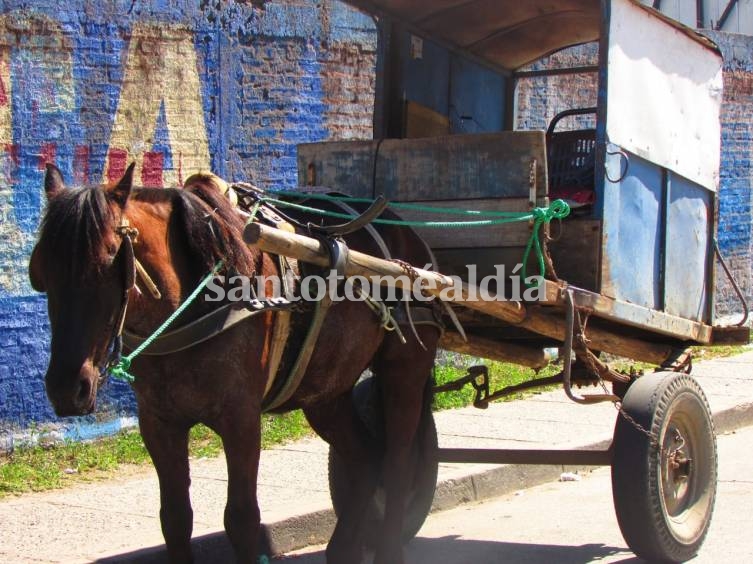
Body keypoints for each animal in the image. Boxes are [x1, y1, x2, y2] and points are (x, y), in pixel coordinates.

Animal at [29, 163, 440, 564]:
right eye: (42, 272)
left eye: (110, 261)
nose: (66, 388)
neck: (195, 296)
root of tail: (408, 233)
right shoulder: (159, 422)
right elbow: (175, 518)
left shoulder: (240, 418)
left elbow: (241, 519)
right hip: (324, 391)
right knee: (364, 458)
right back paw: (344, 551)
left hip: (404, 372)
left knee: (398, 463)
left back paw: (389, 548)